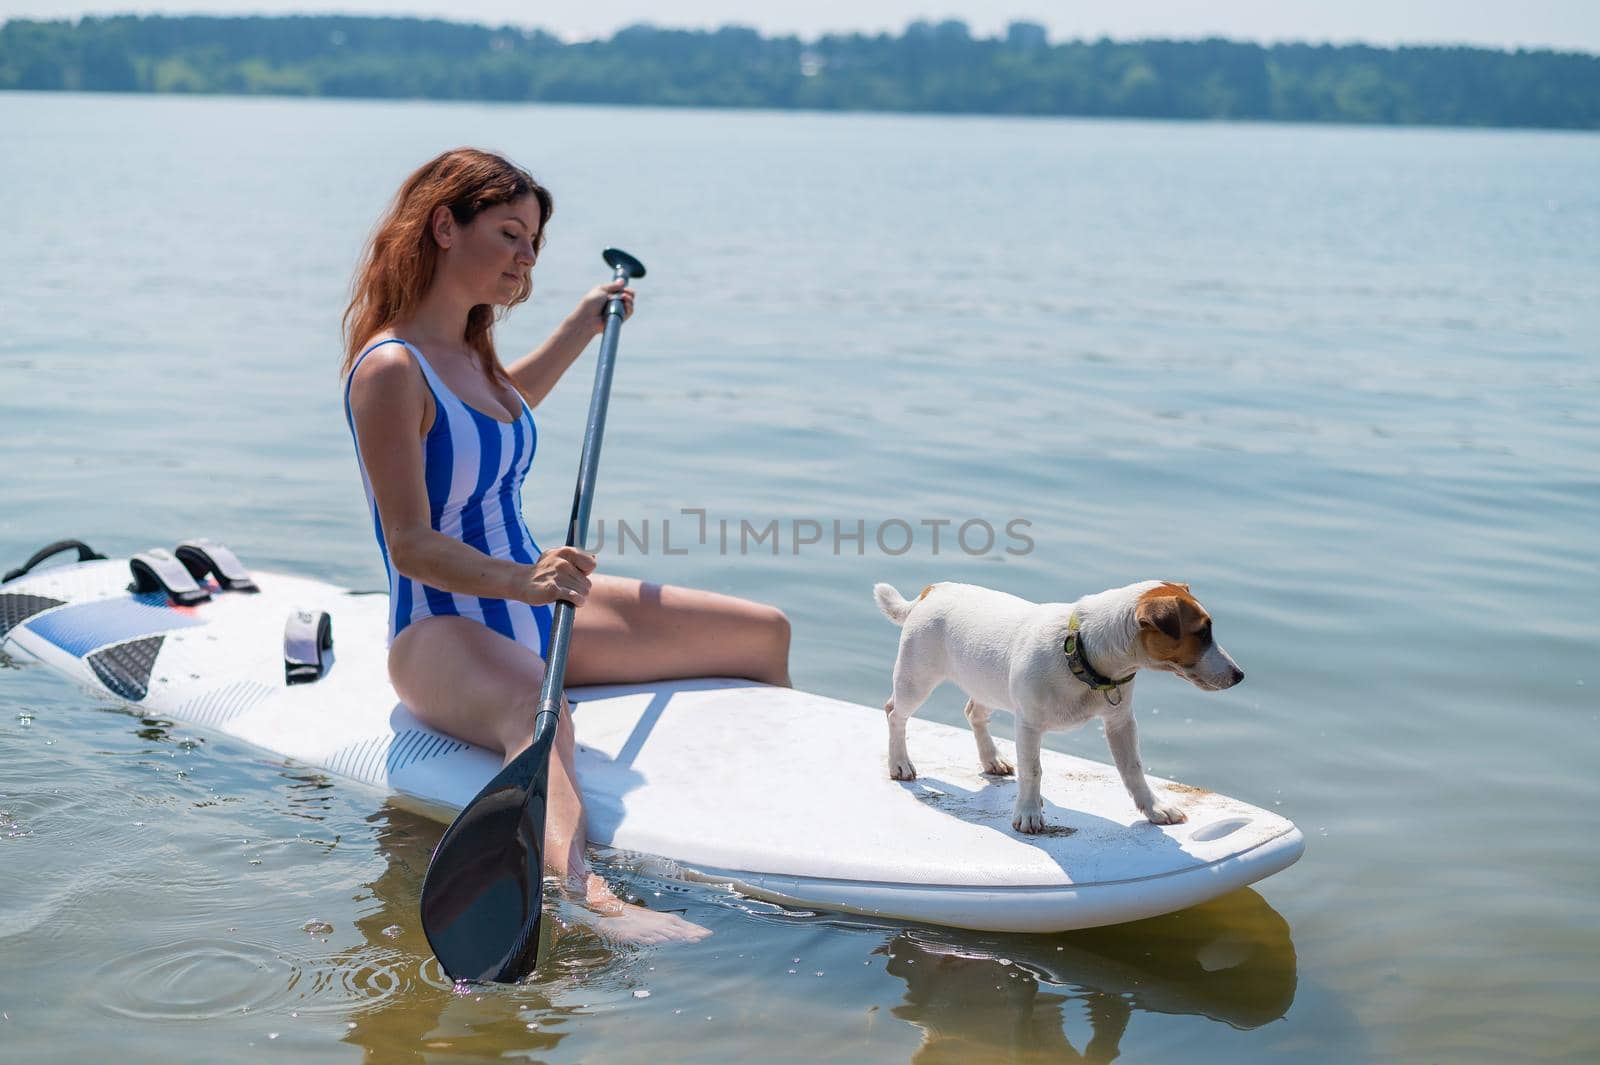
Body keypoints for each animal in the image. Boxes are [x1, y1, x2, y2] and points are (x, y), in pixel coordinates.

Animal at [870, 582, 1241, 831]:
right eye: (1202, 633)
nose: (1240, 675)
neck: (1082, 649)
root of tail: (932, 590)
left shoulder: (1121, 722)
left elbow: (1133, 769)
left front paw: (1154, 808)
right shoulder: (1029, 725)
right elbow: (1033, 770)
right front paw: (1029, 813)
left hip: (989, 685)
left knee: (974, 713)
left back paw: (991, 759)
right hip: (917, 680)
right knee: (894, 713)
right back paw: (900, 762)